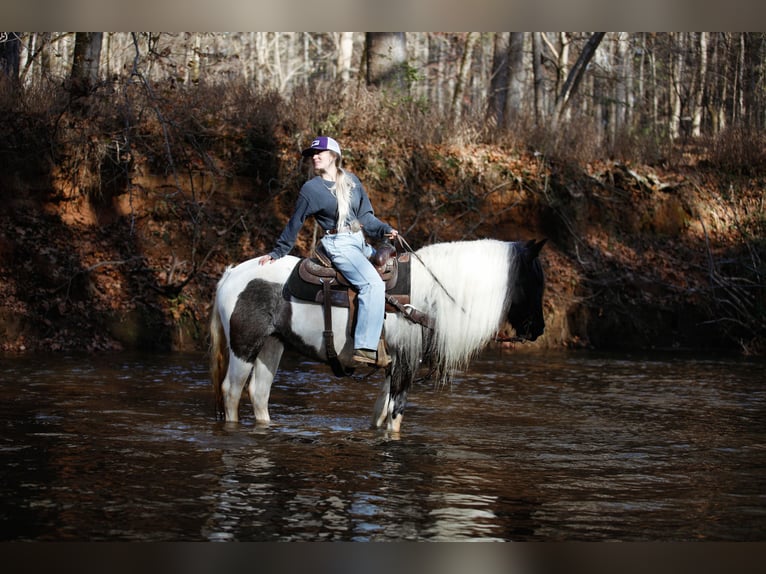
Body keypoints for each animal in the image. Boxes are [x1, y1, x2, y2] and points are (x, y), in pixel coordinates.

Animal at [209, 238, 546, 433]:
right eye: (536, 279)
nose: (539, 330)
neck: (428, 295)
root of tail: (231, 274)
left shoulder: (393, 364)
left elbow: (380, 412)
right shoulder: (405, 366)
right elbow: (395, 417)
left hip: (272, 346)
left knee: (259, 393)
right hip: (243, 347)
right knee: (232, 392)